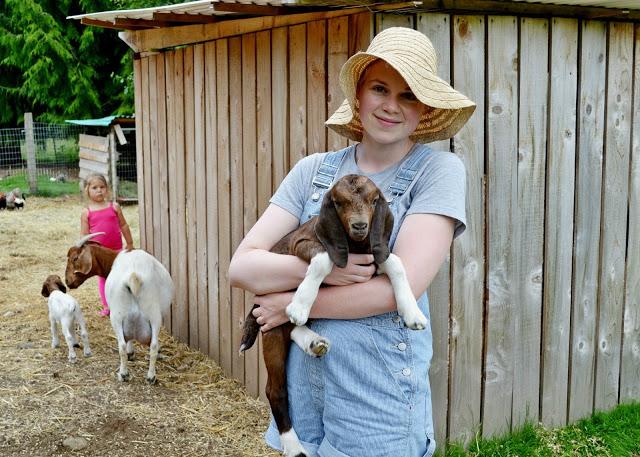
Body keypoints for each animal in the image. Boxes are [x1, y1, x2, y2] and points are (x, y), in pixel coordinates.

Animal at [66, 235, 174, 384]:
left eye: (75, 258)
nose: (67, 281)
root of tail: (134, 276)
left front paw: (130, 353)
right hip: (154, 316)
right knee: (153, 346)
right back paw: (151, 377)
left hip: (116, 316)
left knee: (121, 345)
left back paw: (123, 374)